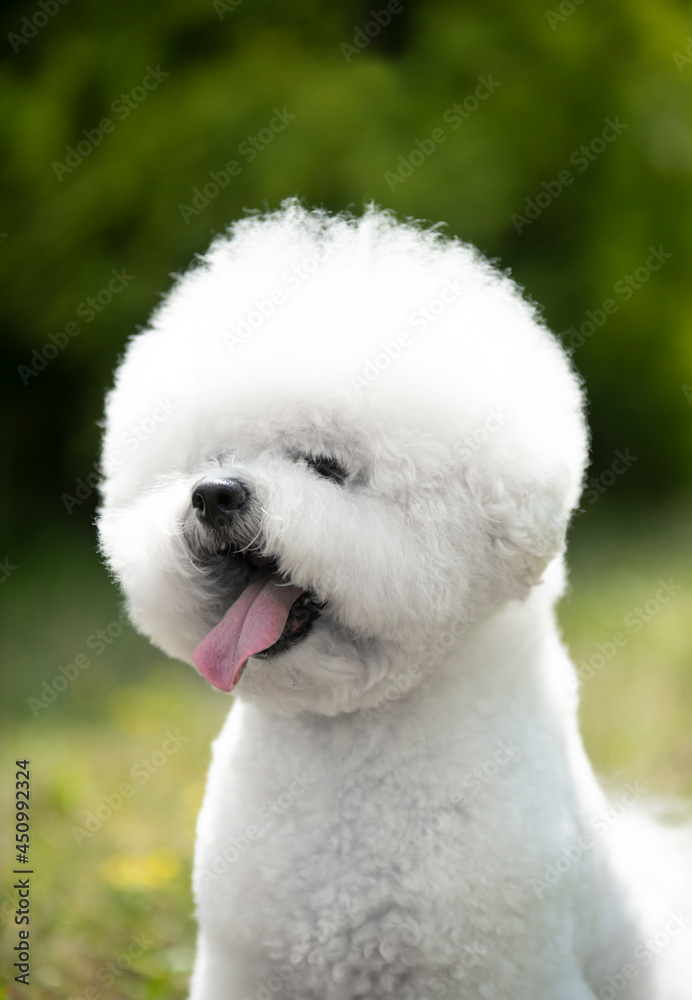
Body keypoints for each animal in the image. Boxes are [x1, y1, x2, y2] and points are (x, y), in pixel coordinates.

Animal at [100, 205, 688, 1000]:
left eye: (325, 466)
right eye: (211, 459)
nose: (214, 494)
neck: (350, 741)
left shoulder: (510, 971)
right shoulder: (241, 965)